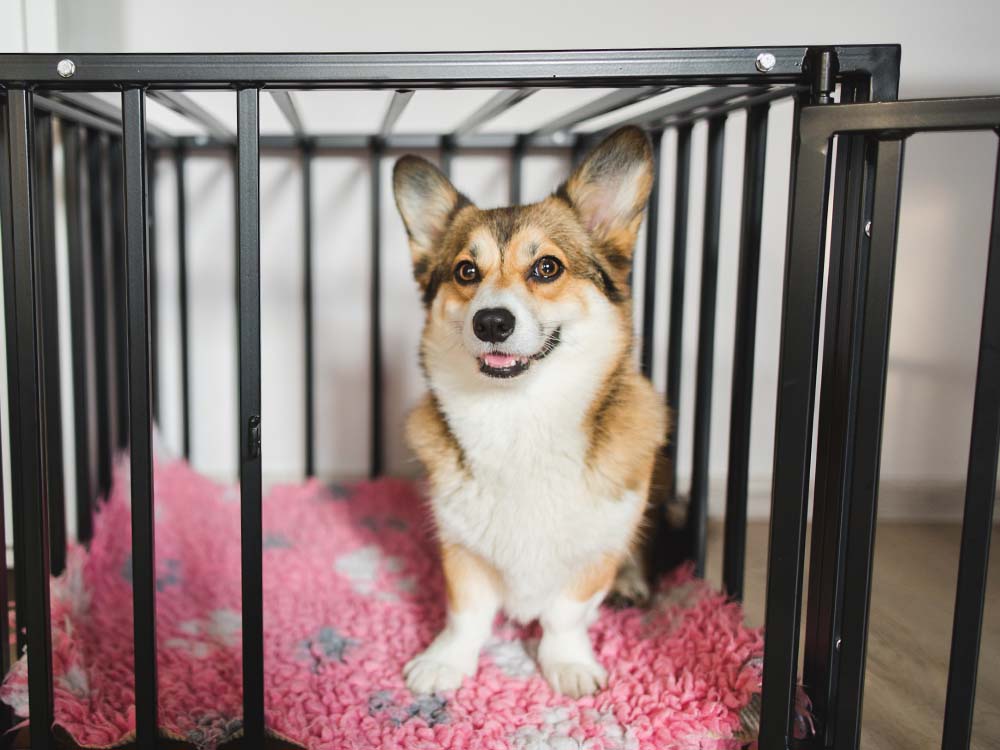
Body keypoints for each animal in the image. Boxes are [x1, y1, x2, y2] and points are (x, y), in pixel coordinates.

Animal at [394, 128, 668, 700]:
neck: (519, 413)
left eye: (547, 267)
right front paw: (446, 662)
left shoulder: (597, 548)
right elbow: (467, 613)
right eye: (466, 271)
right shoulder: (460, 544)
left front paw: (567, 663)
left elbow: (566, 613)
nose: (491, 322)